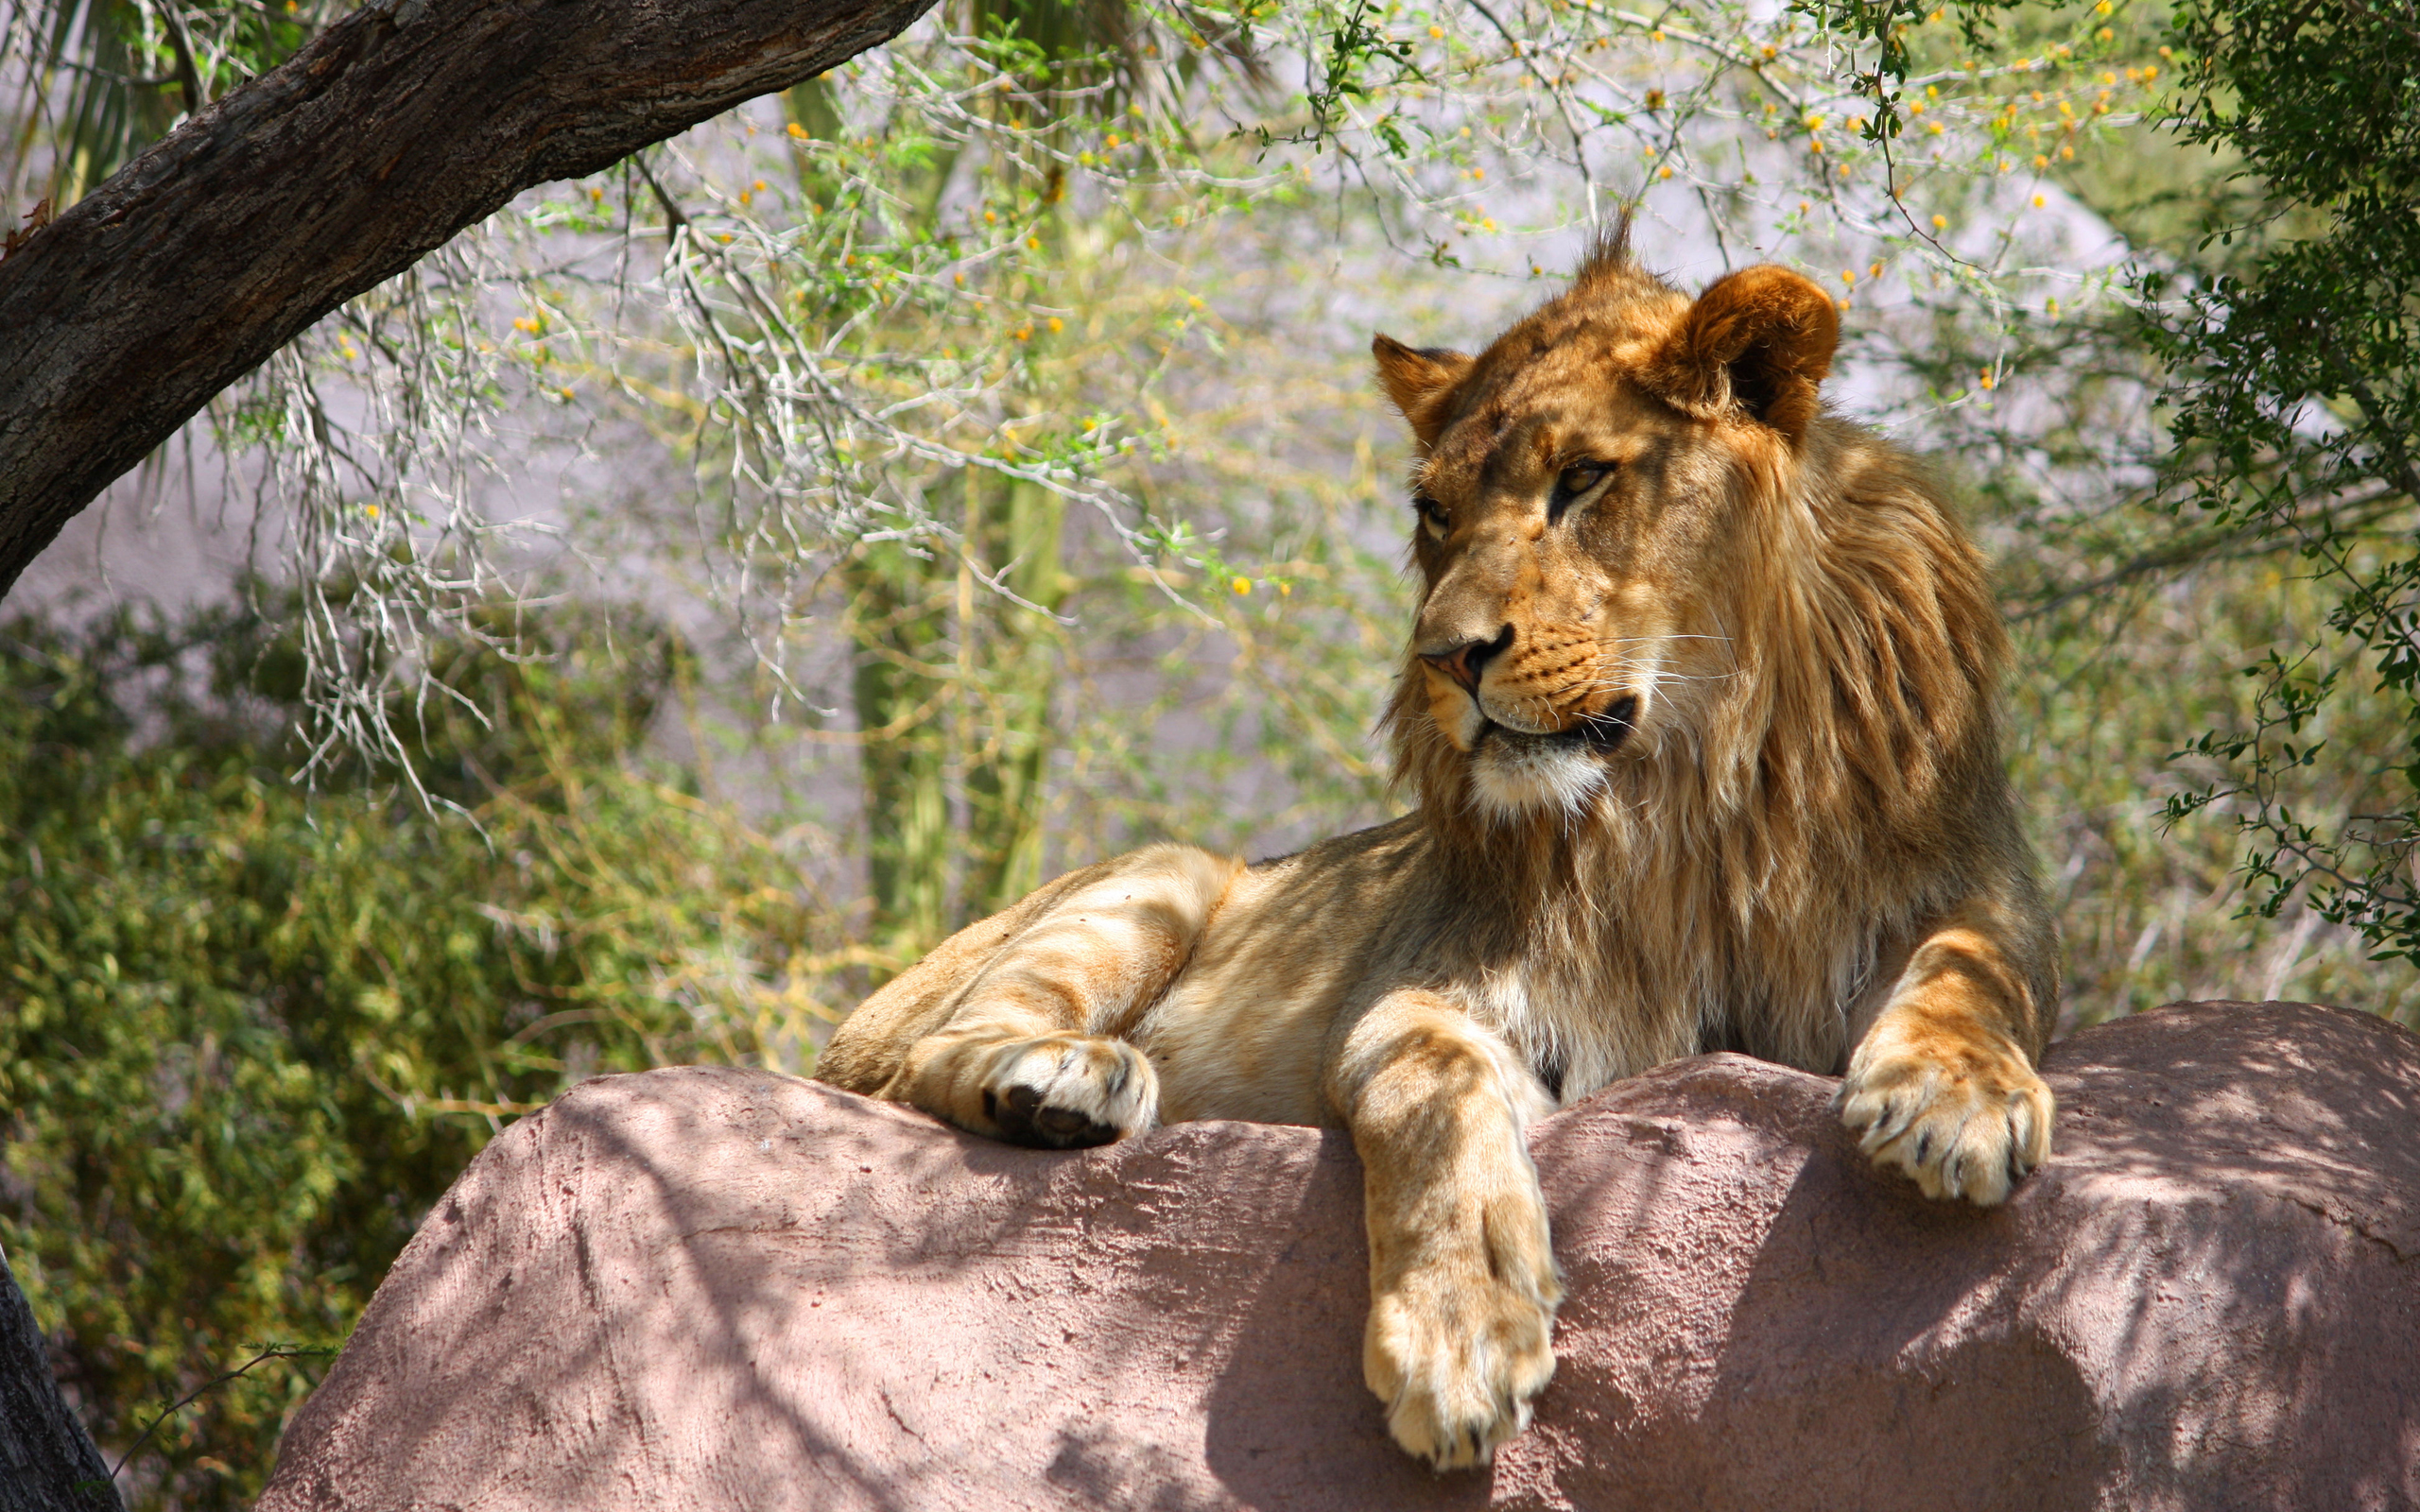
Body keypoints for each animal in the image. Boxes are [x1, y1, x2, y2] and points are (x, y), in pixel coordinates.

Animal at [818, 230, 2062, 1470]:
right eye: (1434, 512)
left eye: (1583, 478)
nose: (1444, 657)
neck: (1692, 787)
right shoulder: (1441, 985)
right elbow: (1433, 1087)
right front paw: (1461, 1334)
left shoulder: (1970, 892)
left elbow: (1972, 968)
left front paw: (1950, 1097)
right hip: (1157, 877)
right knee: (928, 1052)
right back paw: (1064, 1081)